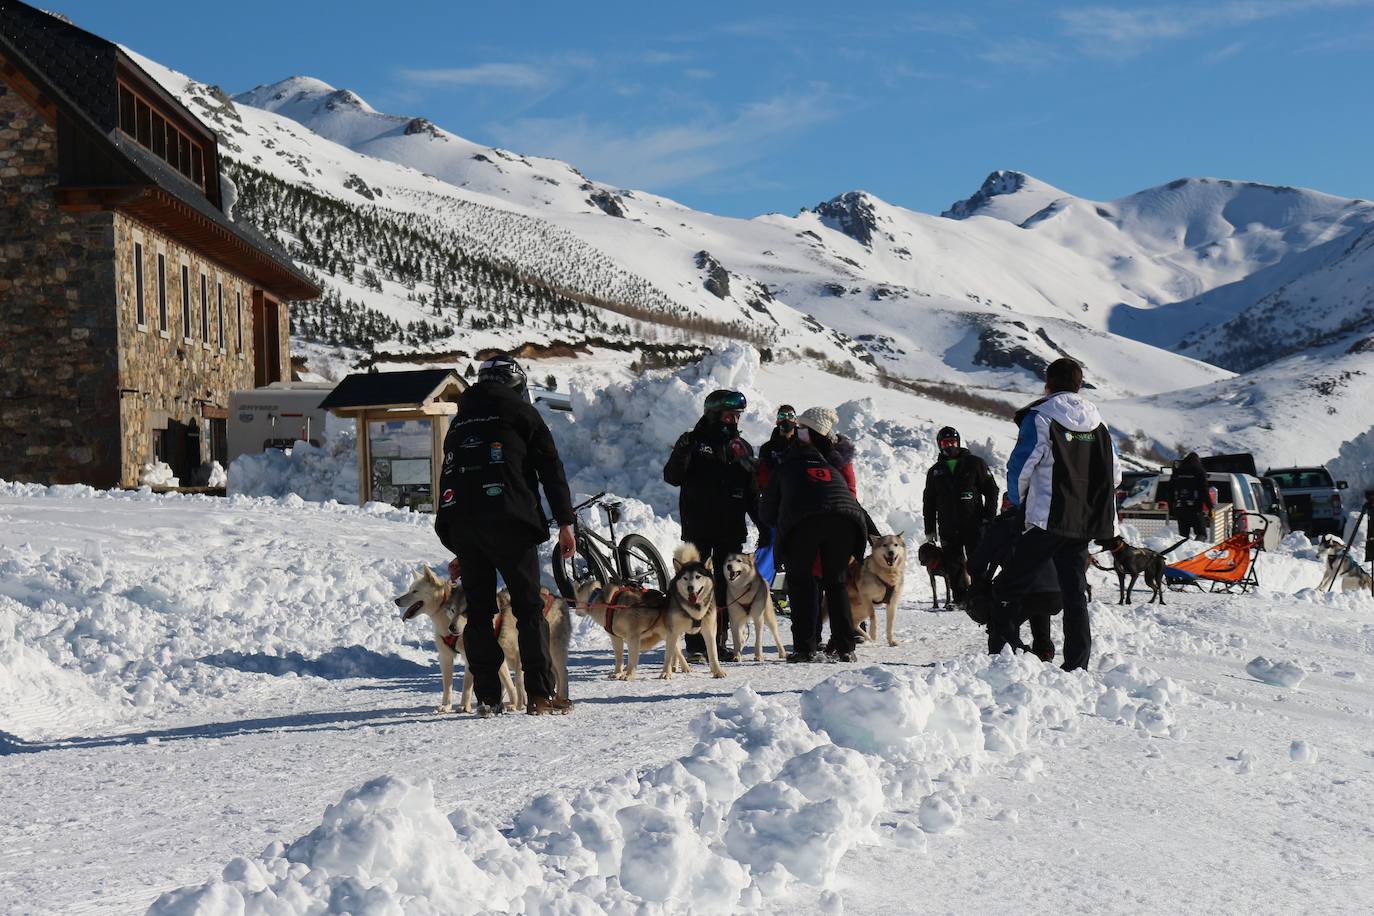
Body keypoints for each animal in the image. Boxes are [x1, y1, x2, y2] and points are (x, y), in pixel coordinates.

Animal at [395, 565, 571, 714]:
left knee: (561, 673)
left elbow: (471, 685)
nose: (396, 600)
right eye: (410, 590)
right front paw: (447, 706)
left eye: (415, 591)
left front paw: (465, 706)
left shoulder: (477, 656)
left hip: (548, 652)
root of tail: (557, 597)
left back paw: (554, 699)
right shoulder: (446, 657)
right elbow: (448, 685)